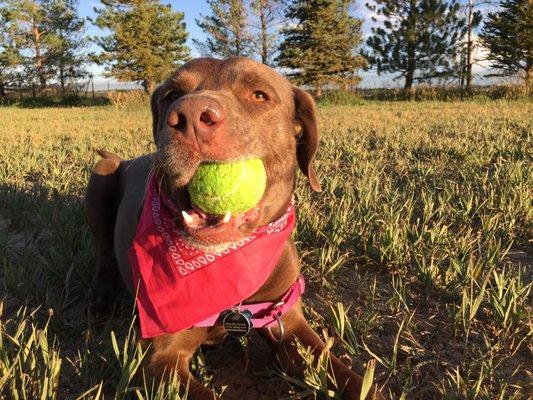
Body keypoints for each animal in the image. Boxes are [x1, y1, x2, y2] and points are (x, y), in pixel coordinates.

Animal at [84, 57, 382, 400]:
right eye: (173, 94)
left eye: (259, 95)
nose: (191, 115)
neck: (230, 260)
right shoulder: (162, 358)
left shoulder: (288, 323)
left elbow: (351, 380)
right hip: (101, 176)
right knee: (102, 255)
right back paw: (100, 298)